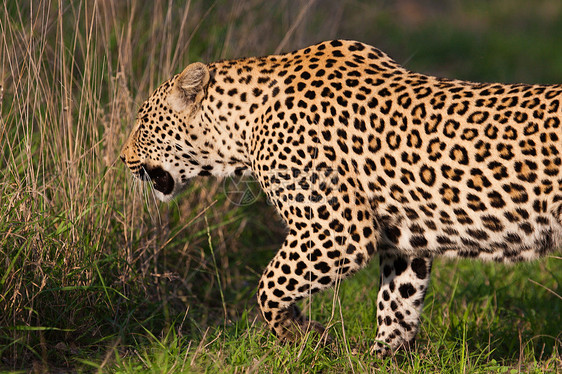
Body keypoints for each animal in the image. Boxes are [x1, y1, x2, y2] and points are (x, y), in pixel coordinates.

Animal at [119, 39, 560, 356]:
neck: (241, 129)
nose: (121, 158)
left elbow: (269, 286)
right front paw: (382, 358)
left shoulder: (337, 228)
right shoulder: (402, 241)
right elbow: (397, 303)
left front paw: (302, 335)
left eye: (141, 121)